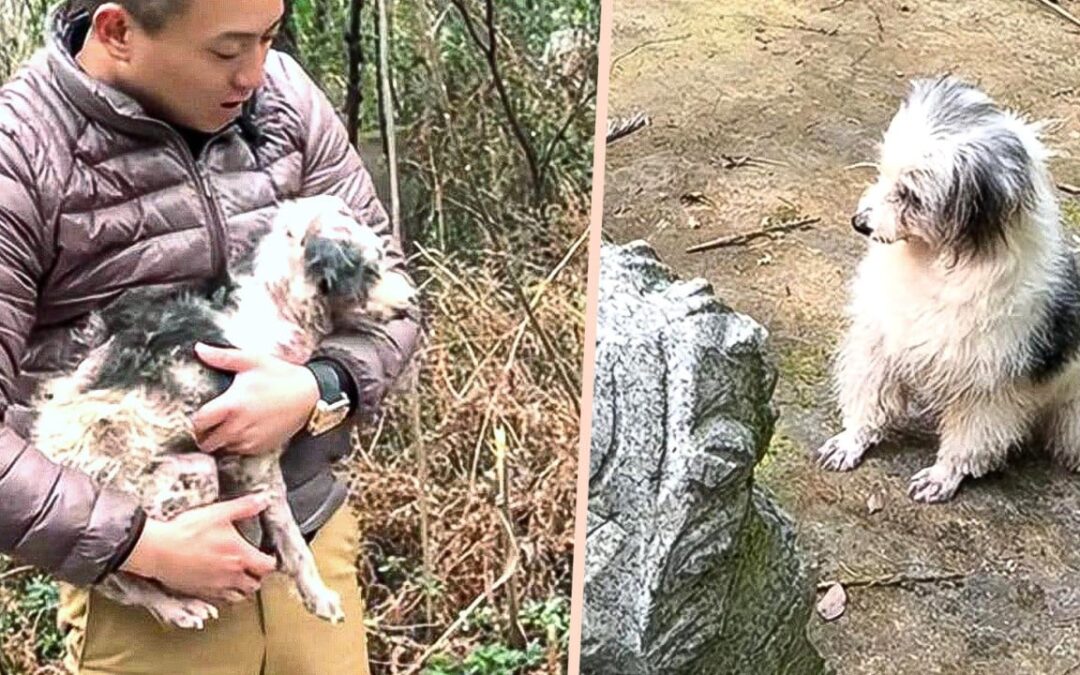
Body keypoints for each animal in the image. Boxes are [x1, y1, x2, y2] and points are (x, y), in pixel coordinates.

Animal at [812, 77, 1080, 501]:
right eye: (885, 172)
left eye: (911, 195)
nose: (860, 222)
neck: (934, 266)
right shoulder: (879, 344)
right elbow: (868, 402)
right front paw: (851, 440)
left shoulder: (987, 390)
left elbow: (968, 443)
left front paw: (942, 476)